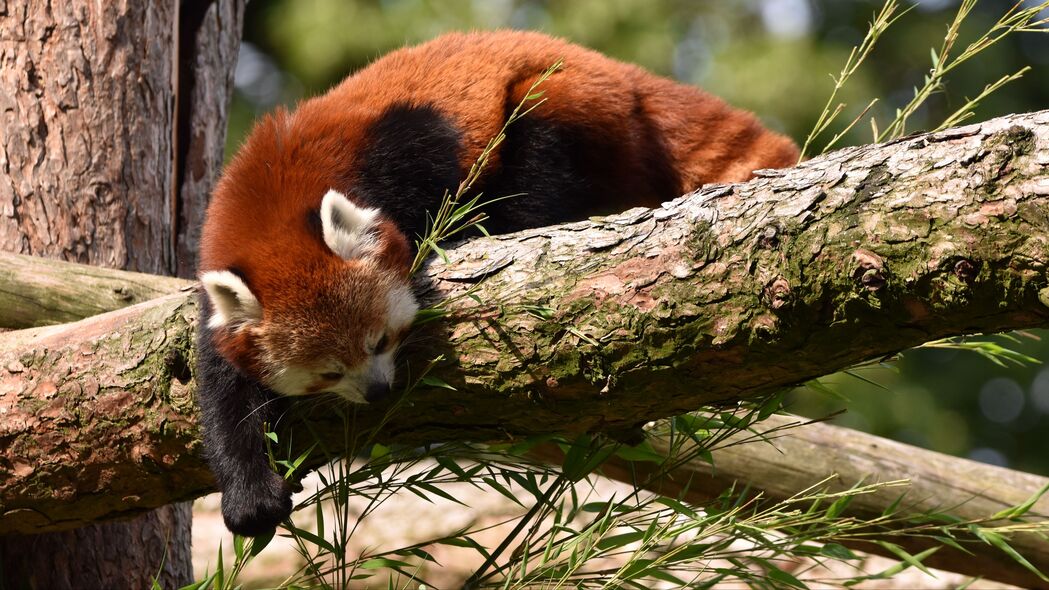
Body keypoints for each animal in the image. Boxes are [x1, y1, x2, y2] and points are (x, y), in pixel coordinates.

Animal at [197, 28, 793, 533]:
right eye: (327, 374)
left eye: (382, 341)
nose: (379, 391)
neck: (270, 193)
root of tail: (617, 72)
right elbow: (225, 394)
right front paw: (249, 494)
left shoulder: (406, 143)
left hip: (559, 102)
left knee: (539, 159)